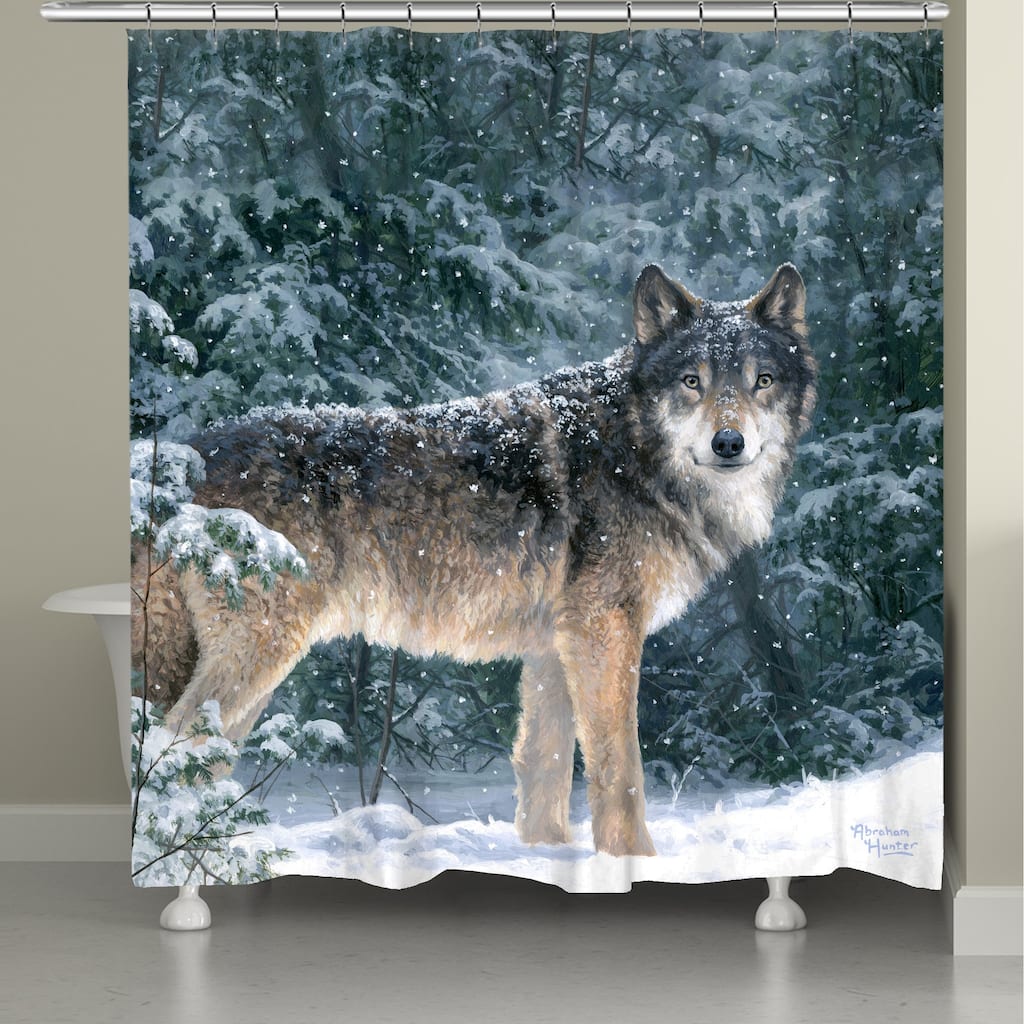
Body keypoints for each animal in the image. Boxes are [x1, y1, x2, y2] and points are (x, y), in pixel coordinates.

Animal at [133, 263, 816, 857]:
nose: (728, 442)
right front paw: (635, 864)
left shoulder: (555, 646)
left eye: (761, 381)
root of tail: (181, 457)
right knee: (171, 748)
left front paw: (549, 859)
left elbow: (544, 770)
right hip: (259, 658)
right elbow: (620, 770)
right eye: (692, 382)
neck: (633, 451)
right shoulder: (606, 631)